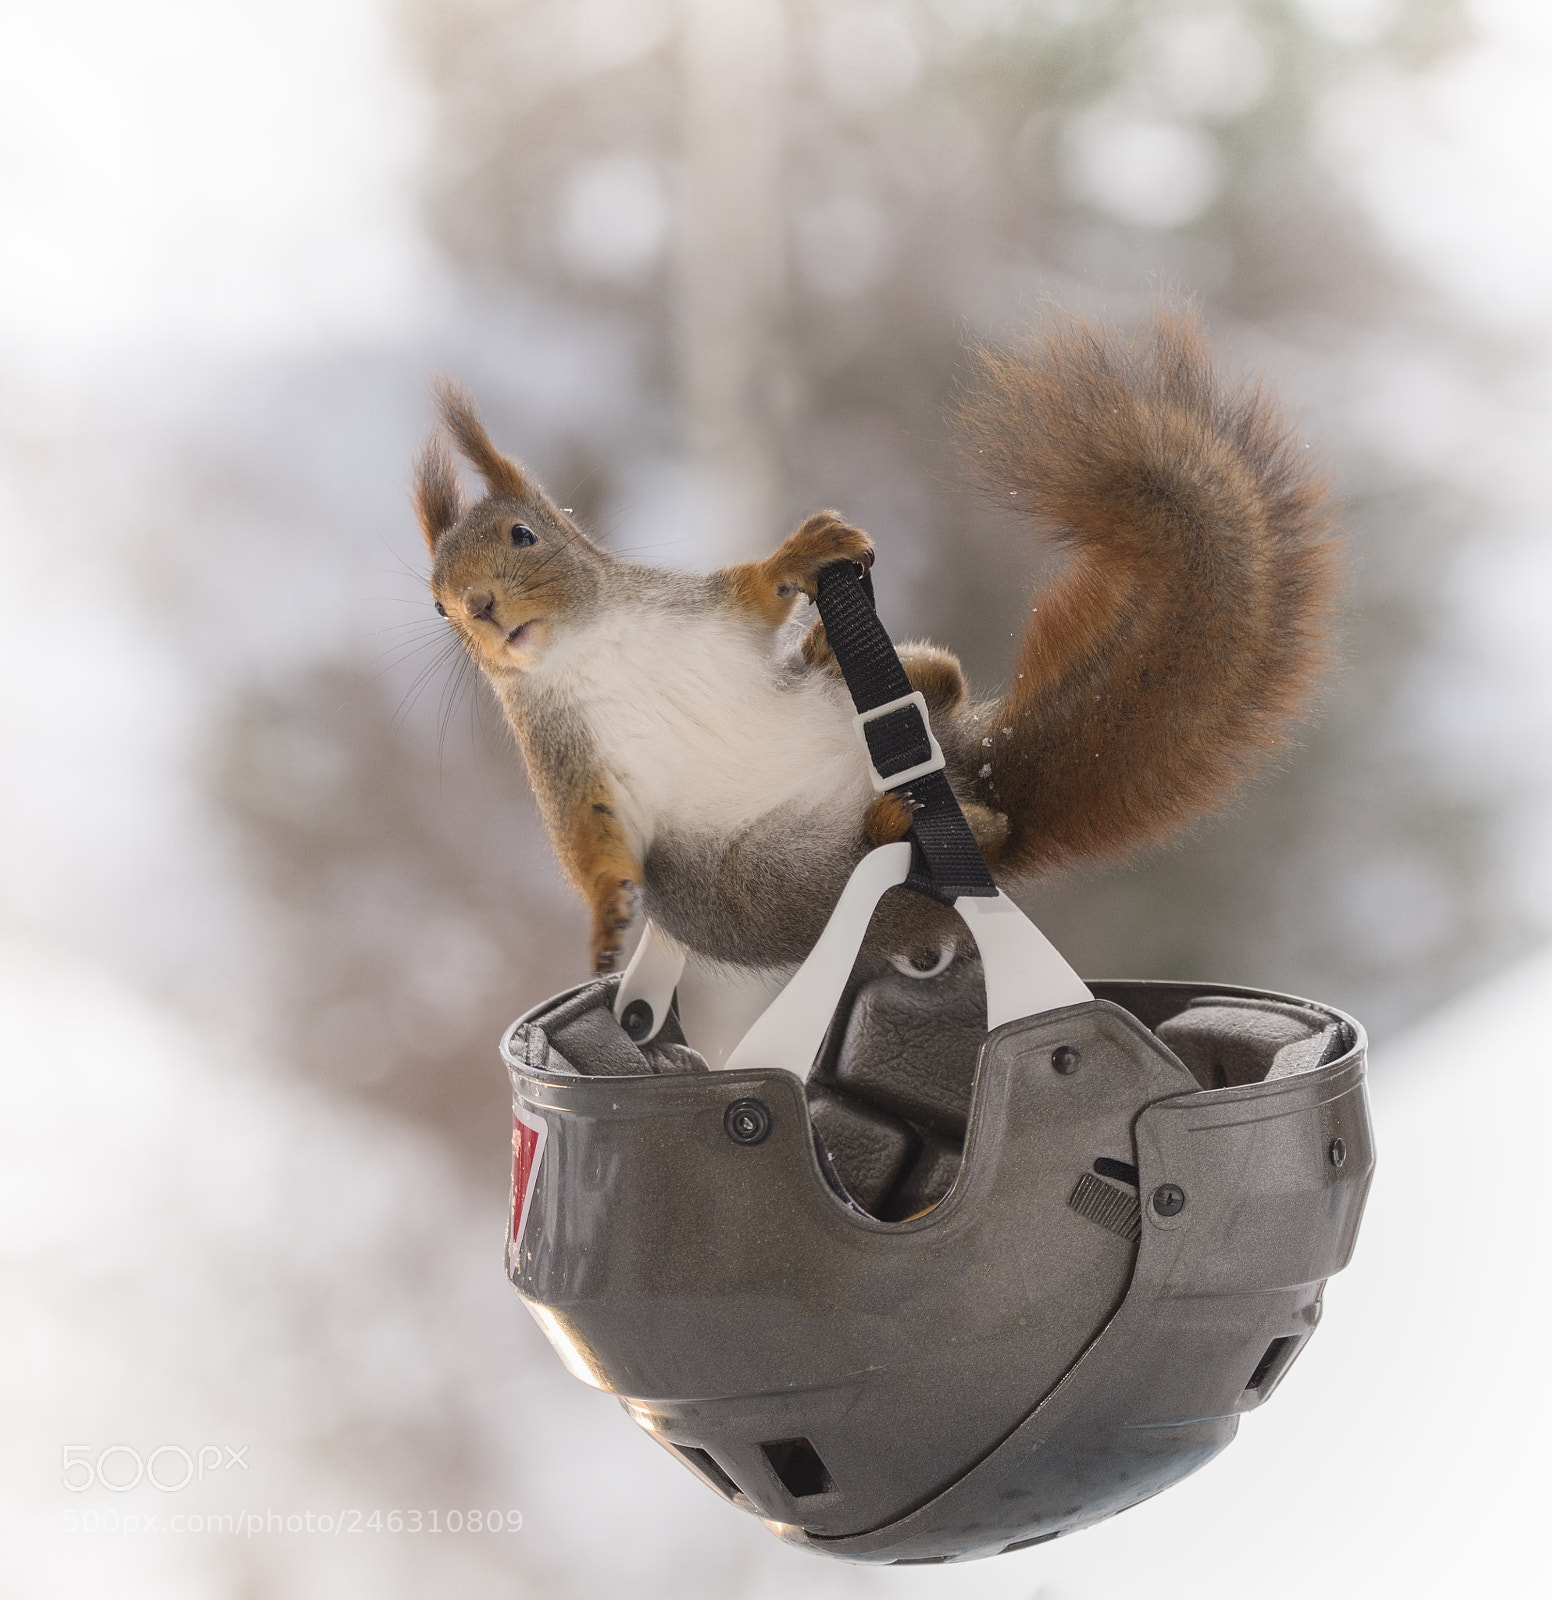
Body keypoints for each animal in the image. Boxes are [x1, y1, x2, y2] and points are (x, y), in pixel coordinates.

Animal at [413, 306, 1336, 978]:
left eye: (524, 535)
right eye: (438, 607)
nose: (481, 608)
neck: (591, 645)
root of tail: (965, 773)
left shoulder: (700, 614)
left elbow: (756, 596)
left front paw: (802, 553)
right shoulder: (565, 759)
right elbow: (590, 841)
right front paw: (607, 917)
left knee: (940, 705)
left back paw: (891, 672)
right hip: (775, 876)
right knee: (938, 843)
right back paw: (906, 819)